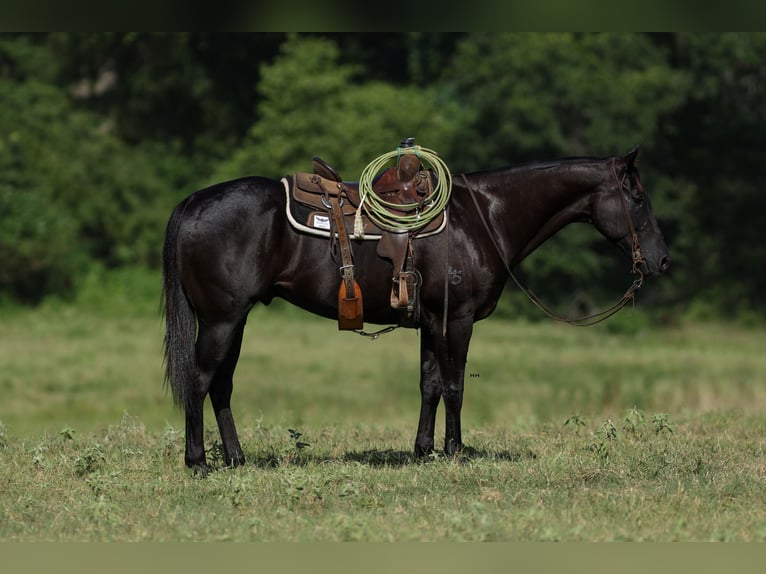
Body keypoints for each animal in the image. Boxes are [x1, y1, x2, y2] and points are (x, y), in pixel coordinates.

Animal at [164, 146, 672, 474]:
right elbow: (454, 386)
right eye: (637, 198)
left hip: (235, 321)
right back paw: (198, 462)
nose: (662, 260)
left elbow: (429, 384)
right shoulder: (457, 320)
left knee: (221, 386)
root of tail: (192, 202)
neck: (482, 217)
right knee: (201, 380)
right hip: (222, 320)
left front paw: (424, 450)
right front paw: (455, 450)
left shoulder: (429, 321)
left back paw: (236, 459)